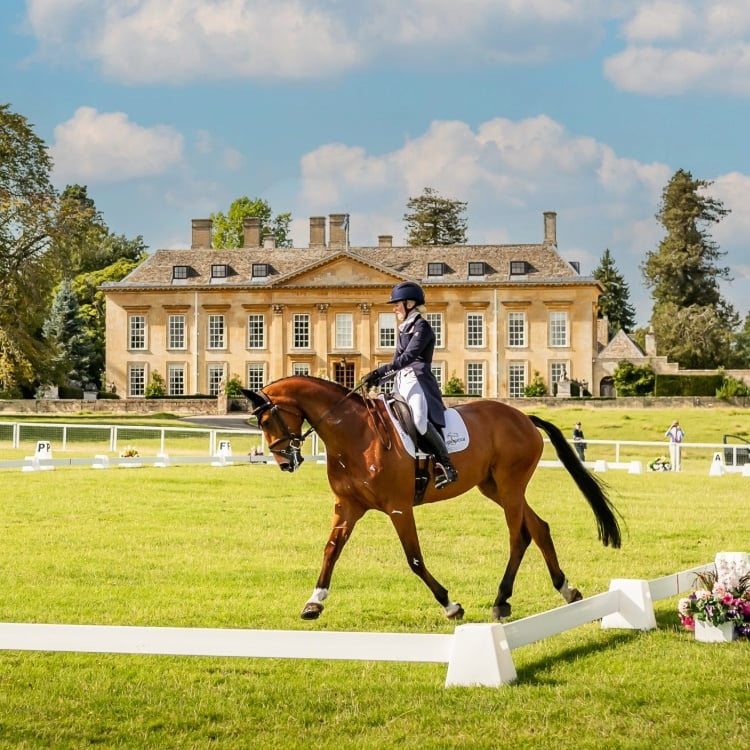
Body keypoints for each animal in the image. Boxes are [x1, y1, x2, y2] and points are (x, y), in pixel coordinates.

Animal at [244, 376, 620, 624]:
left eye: (268, 418)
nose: (284, 463)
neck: (355, 435)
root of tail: (523, 417)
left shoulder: (398, 508)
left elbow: (414, 560)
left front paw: (450, 605)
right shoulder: (347, 507)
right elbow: (330, 550)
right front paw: (314, 602)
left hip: (510, 486)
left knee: (519, 536)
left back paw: (501, 600)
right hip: (495, 487)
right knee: (539, 528)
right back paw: (567, 590)